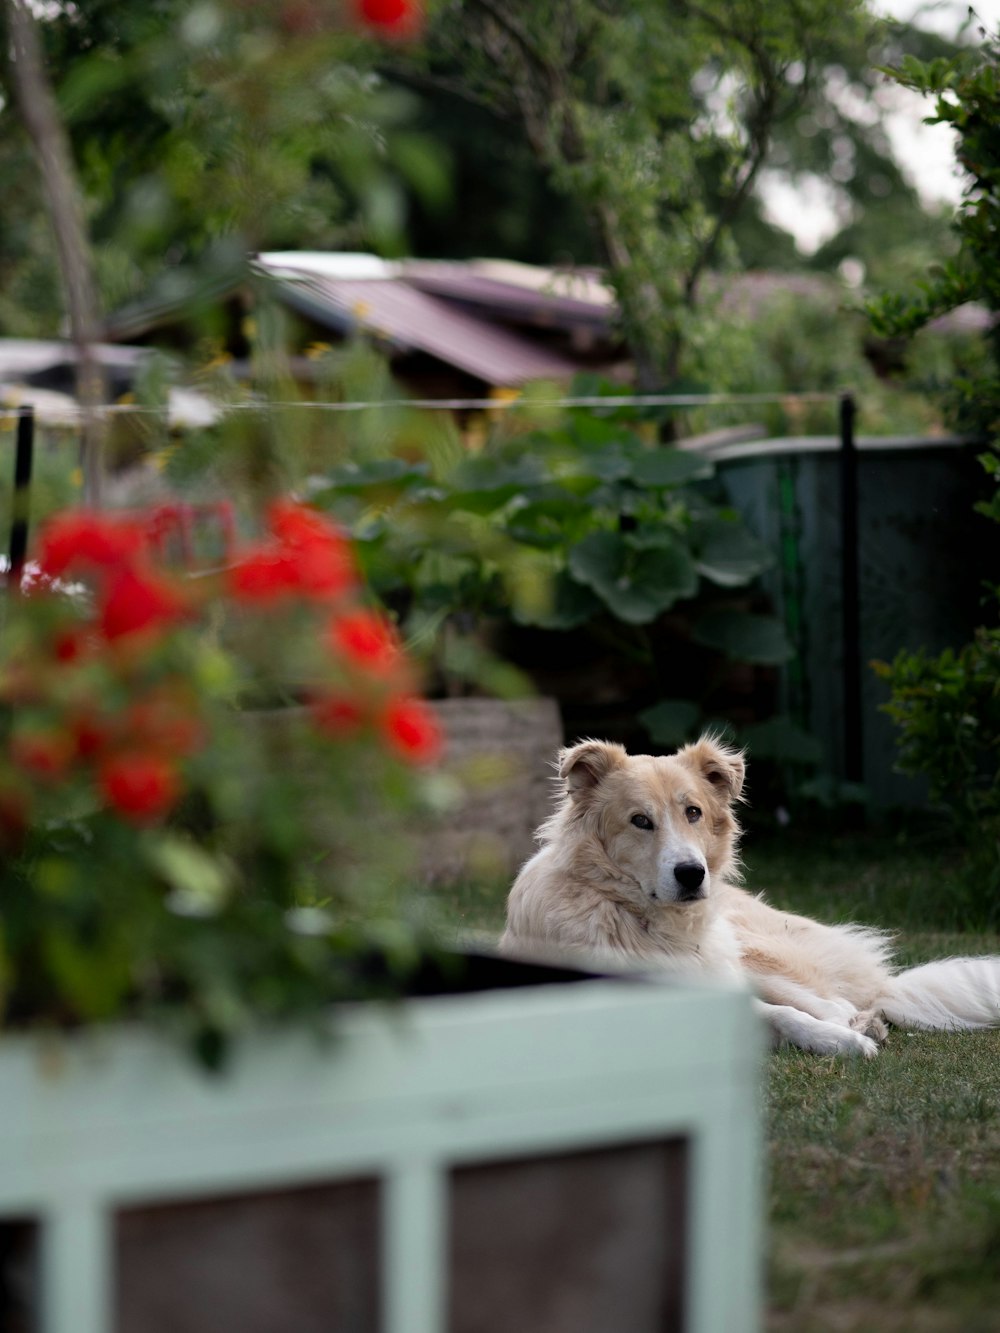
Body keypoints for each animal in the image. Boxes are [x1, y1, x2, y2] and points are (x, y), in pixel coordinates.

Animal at [504, 735, 1000, 1055]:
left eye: (693, 812)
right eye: (640, 820)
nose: (692, 875)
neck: (651, 924)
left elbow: (786, 1015)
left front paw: (843, 1041)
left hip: (752, 954)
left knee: (836, 1002)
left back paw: (861, 1024)